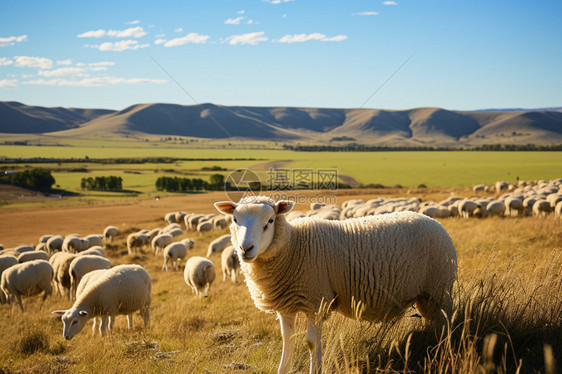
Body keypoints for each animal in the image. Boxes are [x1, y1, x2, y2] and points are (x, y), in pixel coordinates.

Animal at [214, 196, 456, 374]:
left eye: (271, 221)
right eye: (235, 220)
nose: (245, 249)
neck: (294, 247)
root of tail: (436, 223)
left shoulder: (315, 301)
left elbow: (311, 343)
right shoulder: (286, 305)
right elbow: (287, 340)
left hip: (440, 290)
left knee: (446, 324)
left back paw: (444, 351)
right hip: (427, 296)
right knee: (434, 324)